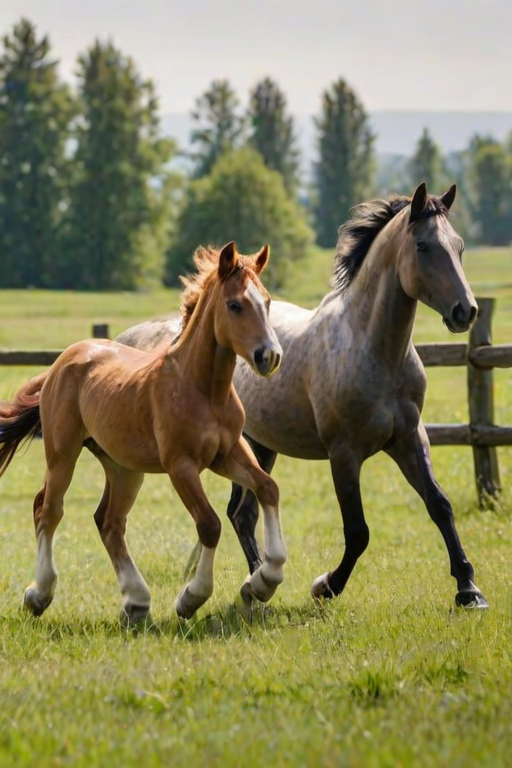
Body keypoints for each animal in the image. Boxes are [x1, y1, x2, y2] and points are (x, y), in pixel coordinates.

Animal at [0, 242, 287, 622]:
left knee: (108, 521)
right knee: (49, 510)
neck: (203, 389)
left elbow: (268, 488)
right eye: (235, 305)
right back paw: (39, 594)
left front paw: (266, 579)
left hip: (122, 467)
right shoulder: (180, 465)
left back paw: (135, 602)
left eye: (267, 301)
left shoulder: (228, 454)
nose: (269, 356)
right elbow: (209, 524)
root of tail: (64, 359)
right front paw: (191, 597)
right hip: (62, 453)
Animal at [117, 183, 489, 611]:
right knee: (240, 513)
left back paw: (255, 581)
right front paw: (326, 585)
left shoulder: (409, 439)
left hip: (258, 446)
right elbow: (358, 531)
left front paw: (469, 589)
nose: (466, 311)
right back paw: (256, 581)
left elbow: (439, 505)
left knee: (241, 513)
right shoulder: (344, 452)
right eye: (423, 246)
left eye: (459, 246)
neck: (374, 350)